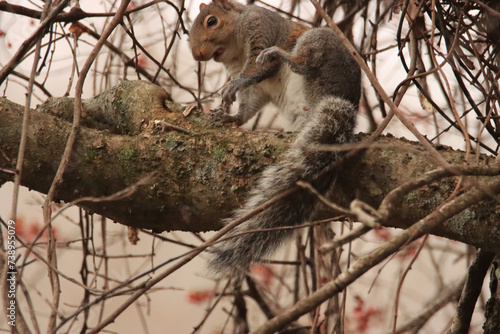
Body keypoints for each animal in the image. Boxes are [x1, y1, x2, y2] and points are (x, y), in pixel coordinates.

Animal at [189, 0, 362, 280]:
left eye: (211, 21)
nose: (197, 55)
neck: (235, 52)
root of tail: (344, 103)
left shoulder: (261, 28)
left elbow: (258, 67)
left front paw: (231, 87)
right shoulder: (256, 90)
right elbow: (248, 105)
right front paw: (230, 116)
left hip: (320, 48)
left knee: (304, 64)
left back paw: (283, 56)